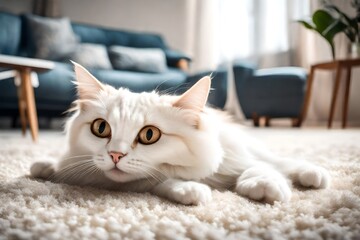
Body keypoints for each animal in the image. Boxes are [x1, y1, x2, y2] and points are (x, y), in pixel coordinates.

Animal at [29, 62, 330, 205]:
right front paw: (191, 190)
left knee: (279, 161)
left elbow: (259, 169)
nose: (115, 155)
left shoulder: (238, 158)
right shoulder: (134, 181)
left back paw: (314, 175)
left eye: (149, 135)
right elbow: (161, 180)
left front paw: (266, 188)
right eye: (101, 128)